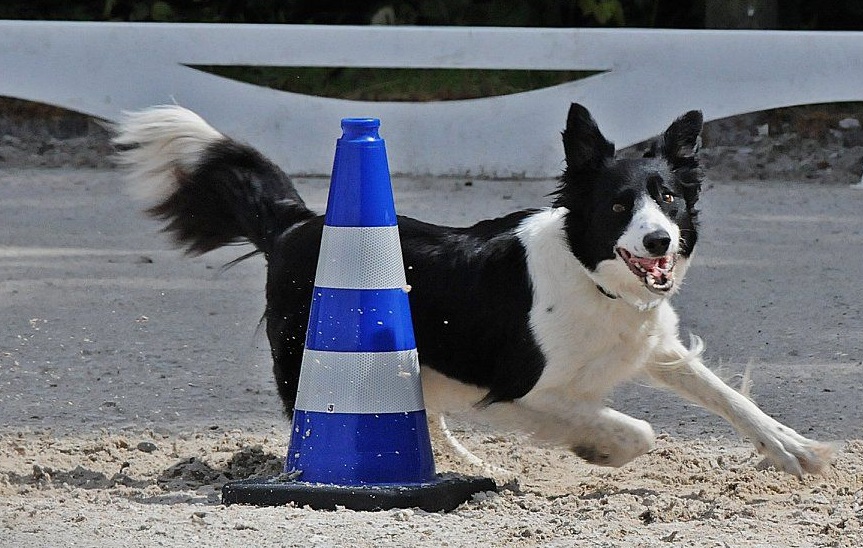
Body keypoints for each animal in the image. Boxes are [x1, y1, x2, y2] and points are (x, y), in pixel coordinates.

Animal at [113, 103, 832, 476]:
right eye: (617, 204)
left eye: (670, 199)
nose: (659, 243)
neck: (589, 277)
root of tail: (297, 222)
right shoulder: (519, 390)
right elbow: (635, 429)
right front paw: (599, 448)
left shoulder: (656, 347)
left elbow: (728, 398)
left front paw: (793, 449)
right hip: (310, 357)